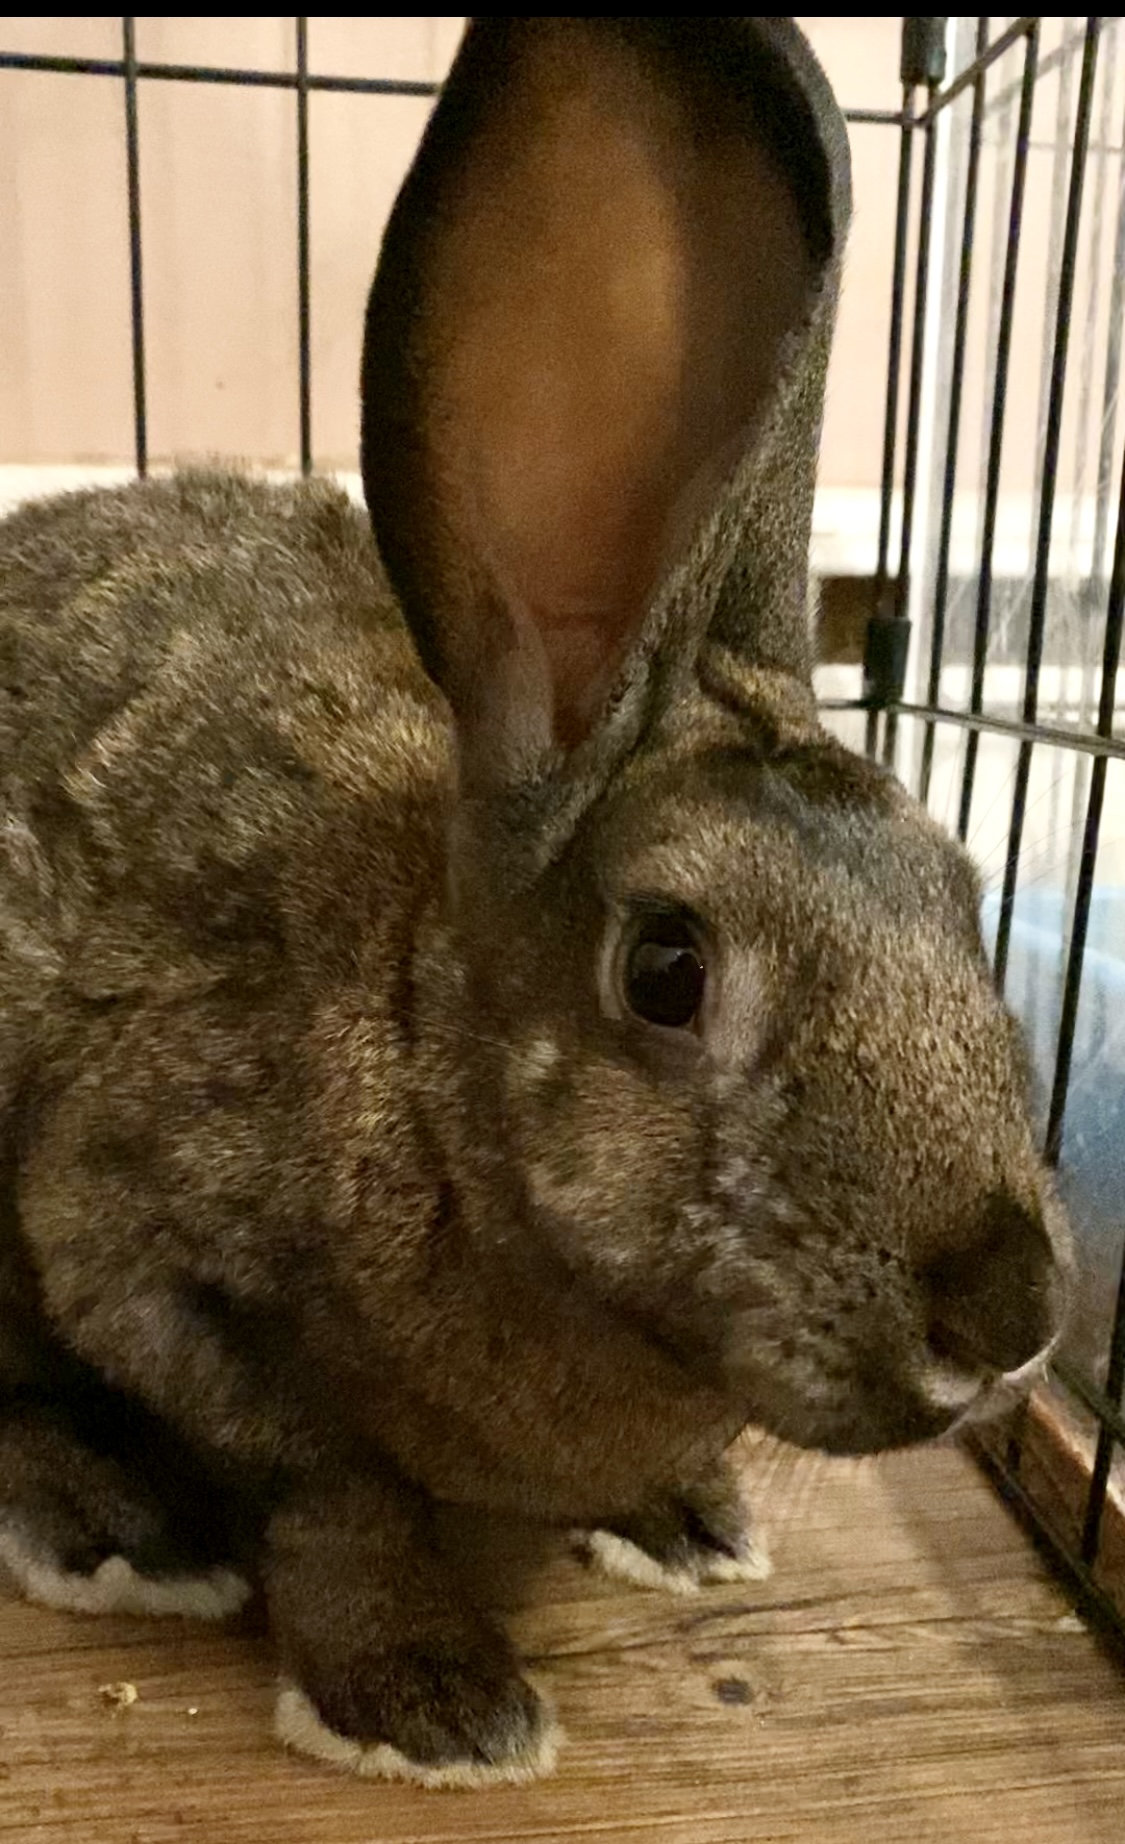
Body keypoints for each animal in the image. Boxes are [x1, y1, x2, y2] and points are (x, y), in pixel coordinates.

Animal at [0, 16, 1069, 1787]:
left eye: (965, 902)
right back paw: (115, 1529)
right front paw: (431, 1702)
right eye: (666, 969)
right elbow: (332, 1490)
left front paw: (684, 1518)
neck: (433, 1078)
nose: (1015, 1314)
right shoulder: (131, 1247)